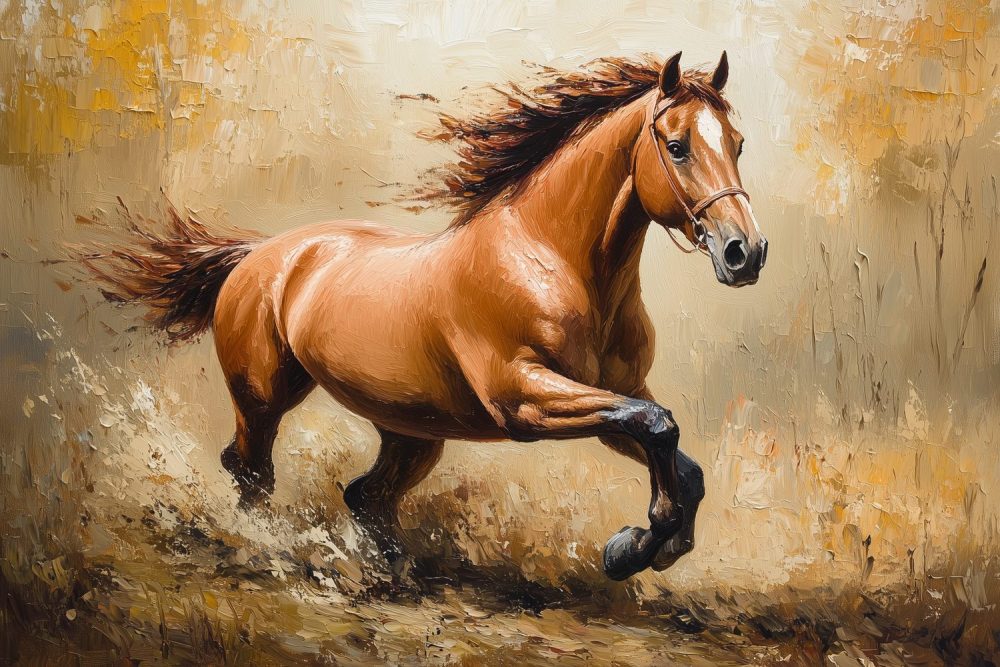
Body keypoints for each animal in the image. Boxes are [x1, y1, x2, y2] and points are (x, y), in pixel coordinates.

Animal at [82, 51, 767, 581]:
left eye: (737, 144)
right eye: (676, 147)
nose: (746, 252)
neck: (551, 258)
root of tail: (259, 255)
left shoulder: (614, 394)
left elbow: (678, 454)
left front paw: (650, 545)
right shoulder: (523, 398)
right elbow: (659, 425)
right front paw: (638, 544)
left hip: (413, 432)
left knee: (365, 496)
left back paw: (393, 572)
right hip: (263, 395)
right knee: (251, 470)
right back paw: (267, 550)